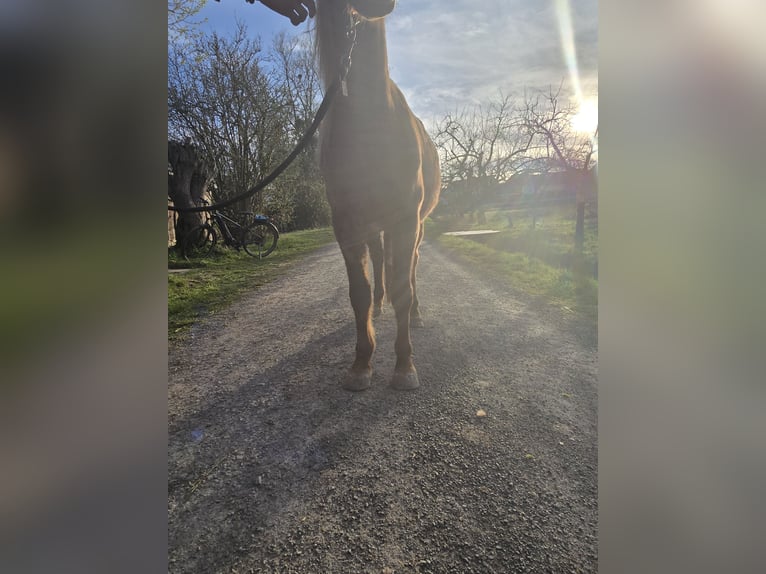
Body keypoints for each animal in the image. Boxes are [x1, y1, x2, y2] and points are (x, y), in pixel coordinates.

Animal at [316, 0, 441, 391]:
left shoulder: (406, 217)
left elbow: (404, 285)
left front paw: (404, 365)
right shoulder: (346, 222)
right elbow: (359, 293)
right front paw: (361, 363)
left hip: (415, 225)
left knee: (410, 267)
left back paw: (416, 314)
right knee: (381, 261)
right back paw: (381, 305)